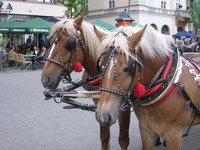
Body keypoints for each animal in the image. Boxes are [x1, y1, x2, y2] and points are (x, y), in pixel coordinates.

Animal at [41, 15, 130, 149]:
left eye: (69, 44)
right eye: (50, 43)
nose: (45, 79)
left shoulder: (124, 109)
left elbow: (123, 141)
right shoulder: (101, 107)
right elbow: (104, 137)